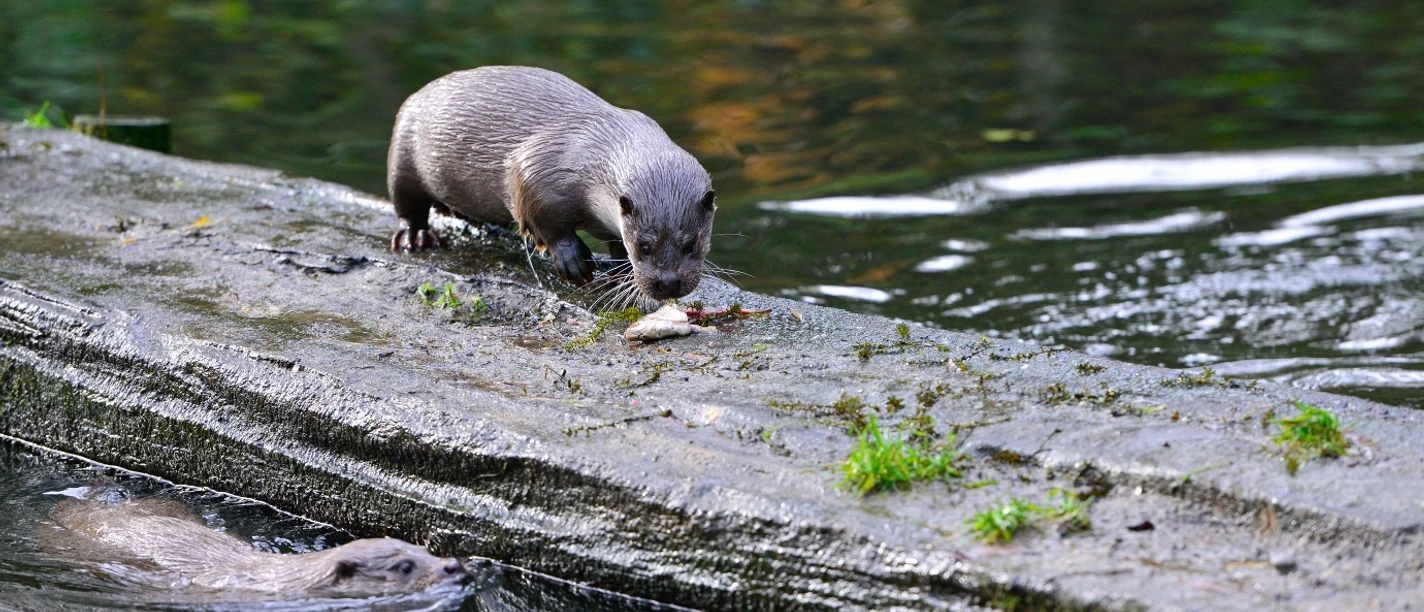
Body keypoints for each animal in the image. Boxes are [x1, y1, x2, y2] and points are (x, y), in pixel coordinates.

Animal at [387, 66, 716, 301]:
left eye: (691, 244)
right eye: (644, 247)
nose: (669, 284)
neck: (592, 157)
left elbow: (615, 243)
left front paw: (622, 272)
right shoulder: (536, 167)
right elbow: (545, 221)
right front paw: (574, 262)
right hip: (404, 153)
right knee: (407, 204)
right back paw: (416, 236)